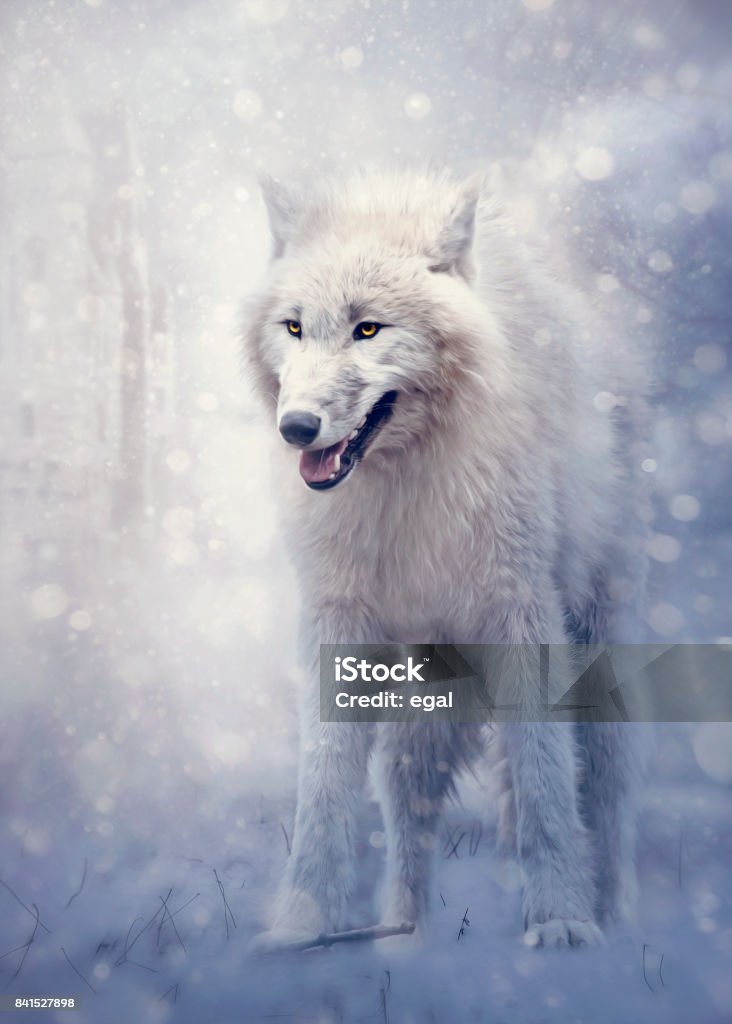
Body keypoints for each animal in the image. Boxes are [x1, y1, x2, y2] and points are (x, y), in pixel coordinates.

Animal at [243, 169, 651, 950]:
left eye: (369, 328)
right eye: (294, 327)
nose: (296, 428)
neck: (405, 490)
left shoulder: (524, 614)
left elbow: (545, 774)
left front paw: (562, 921)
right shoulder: (338, 626)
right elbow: (324, 782)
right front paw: (299, 926)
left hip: (593, 648)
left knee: (605, 788)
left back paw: (617, 917)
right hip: (421, 693)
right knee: (410, 803)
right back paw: (404, 933)